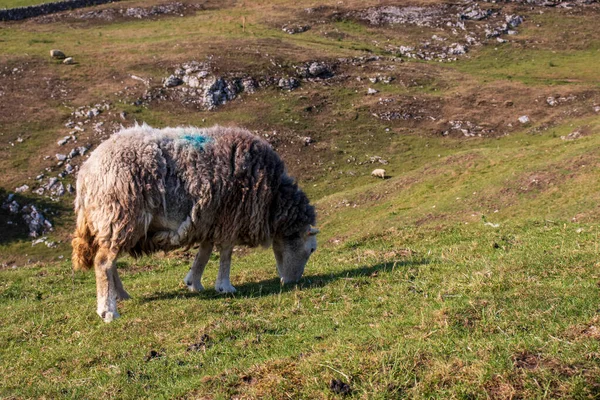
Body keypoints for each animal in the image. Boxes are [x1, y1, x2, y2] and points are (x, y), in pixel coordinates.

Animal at [72, 123, 318, 324]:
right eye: (312, 250)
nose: (292, 282)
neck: (273, 198)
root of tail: (85, 174)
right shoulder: (230, 217)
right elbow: (226, 253)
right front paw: (225, 286)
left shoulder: (209, 219)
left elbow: (205, 252)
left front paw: (194, 282)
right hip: (120, 212)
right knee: (103, 262)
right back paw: (108, 310)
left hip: (111, 221)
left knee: (110, 262)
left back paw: (121, 295)